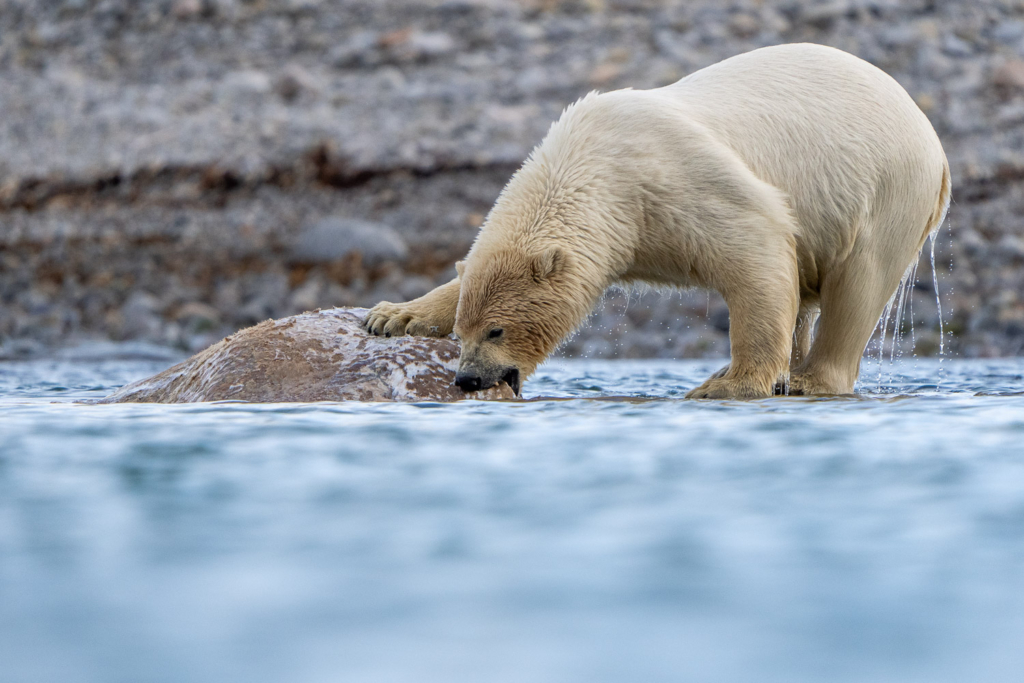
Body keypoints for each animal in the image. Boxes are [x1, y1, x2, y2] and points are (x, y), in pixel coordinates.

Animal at [362, 44, 950, 401]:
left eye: (497, 329)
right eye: (464, 331)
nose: (466, 378)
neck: (595, 165)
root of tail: (935, 143)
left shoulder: (678, 183)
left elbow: (757, 253)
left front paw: (730, 386)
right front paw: (393, 316)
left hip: (887, 189)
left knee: (858, 286)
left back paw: (804, 380)